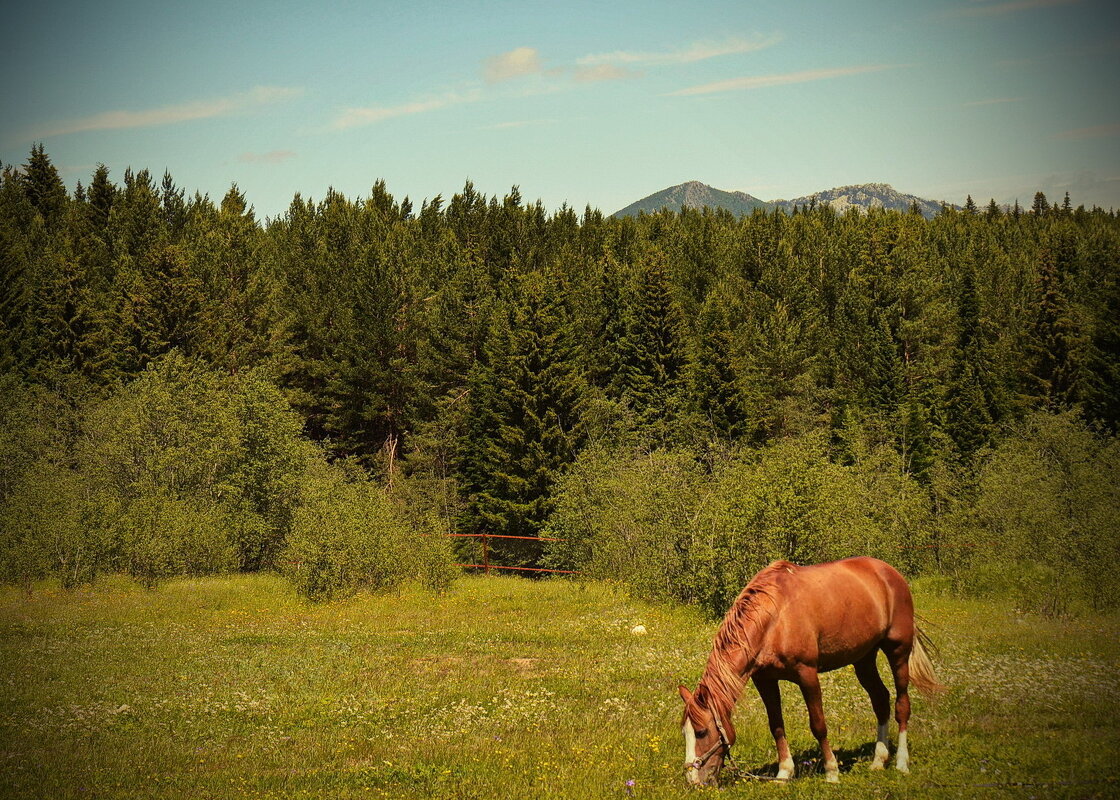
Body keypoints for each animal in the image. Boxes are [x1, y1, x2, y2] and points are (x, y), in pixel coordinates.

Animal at [676, 557, 940, 784]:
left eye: (701, 732)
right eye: (684, 732)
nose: (693, 780)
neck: (775, 619)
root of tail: (890, 573)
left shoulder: (807, 675)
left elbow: (818, 725)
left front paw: (832, 772)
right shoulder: (765, 680)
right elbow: (776, 725)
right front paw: (784, 773)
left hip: (898, 652)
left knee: (901, 705)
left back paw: (901, 763)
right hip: (864, 659)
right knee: (881, 700)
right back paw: (878, 761)